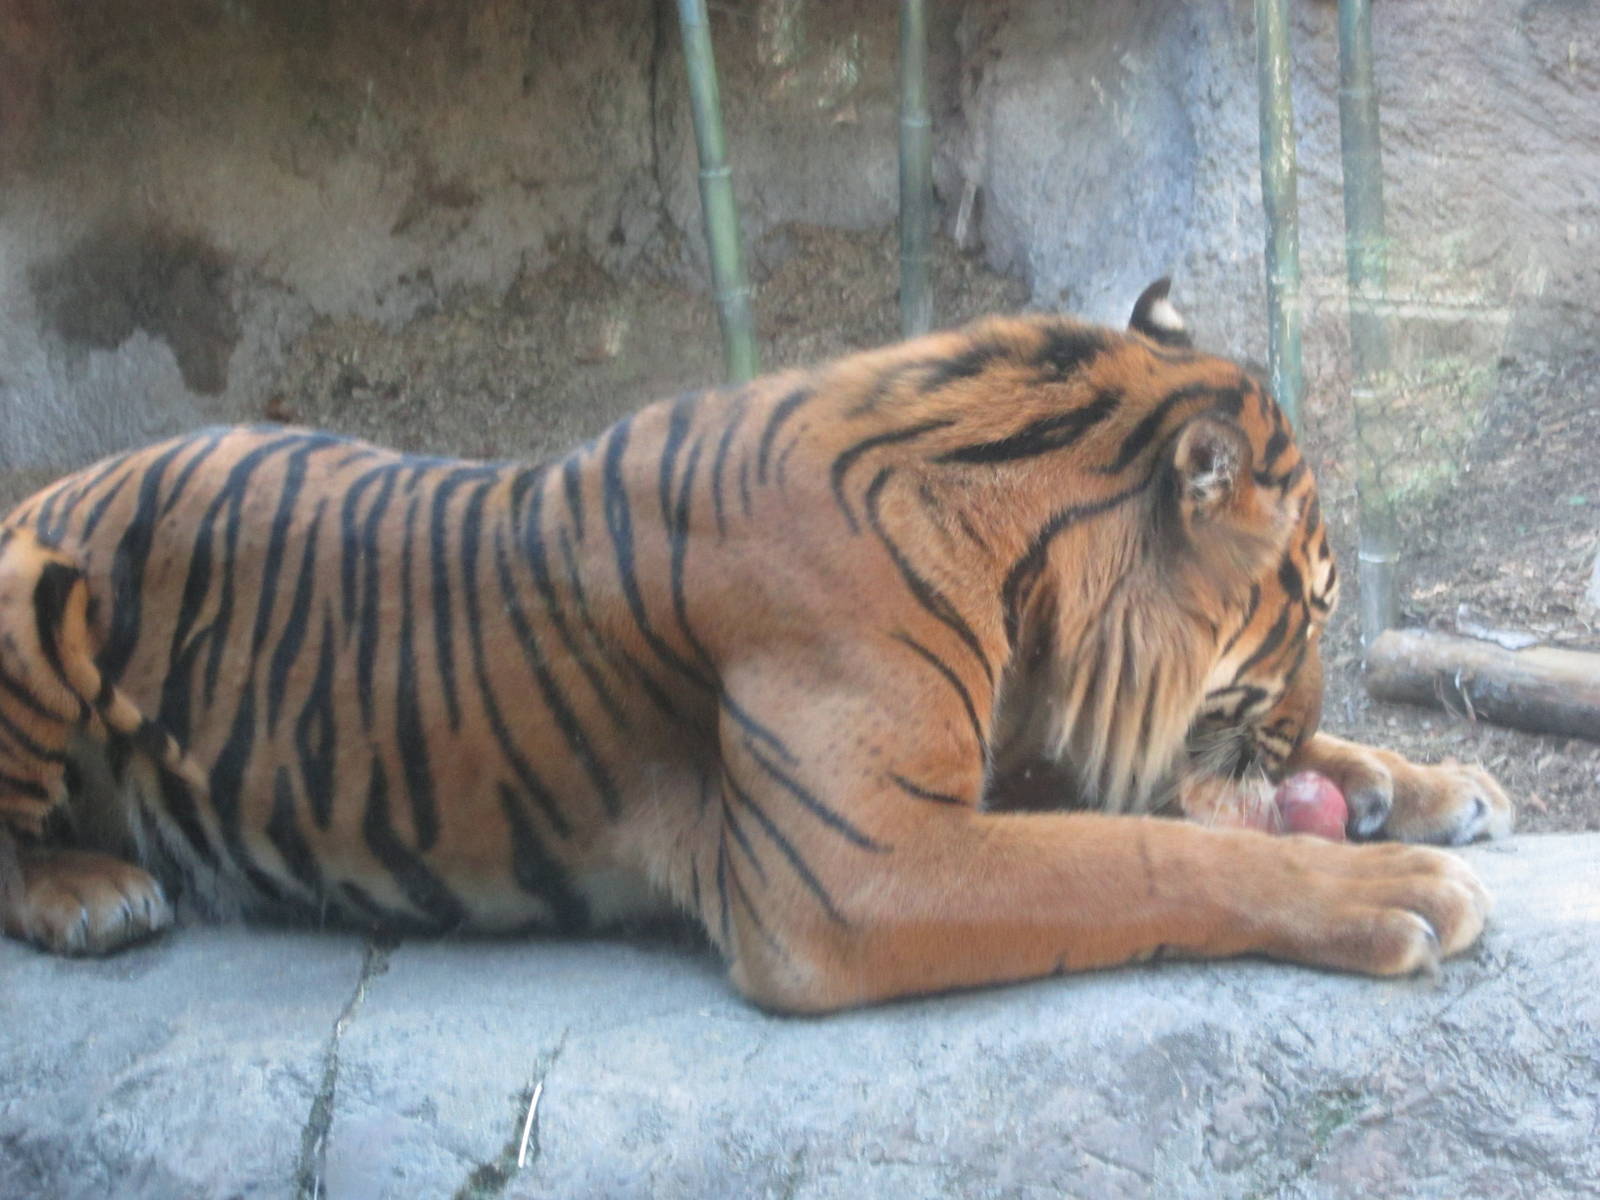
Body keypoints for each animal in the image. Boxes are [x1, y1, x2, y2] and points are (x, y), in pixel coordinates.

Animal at [0, 281, 1512, 1013]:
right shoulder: (865, 867)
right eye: (1311, 612)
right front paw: (1400, 884)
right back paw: (94, 894)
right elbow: (1151, 860)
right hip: (32, 587)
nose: (1295, 723)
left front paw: (1428, 787)